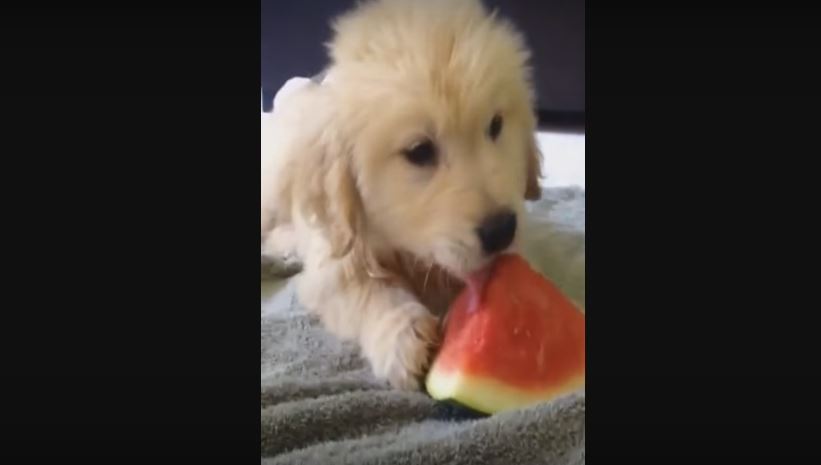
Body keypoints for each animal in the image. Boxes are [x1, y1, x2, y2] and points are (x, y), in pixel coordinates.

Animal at [262, 0, 540, 388]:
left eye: (496, 125)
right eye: (419, 151)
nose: (501, 231)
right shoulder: (334, 259)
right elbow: (369, 292)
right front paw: (403, 334)